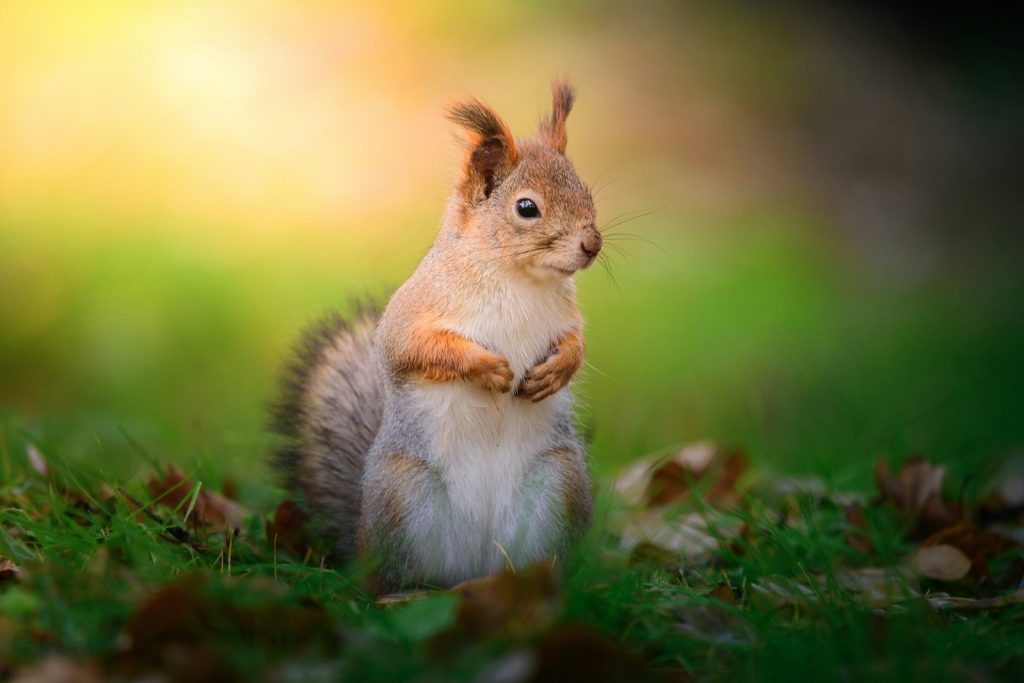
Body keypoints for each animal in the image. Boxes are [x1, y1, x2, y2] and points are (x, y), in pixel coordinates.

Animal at [271, 81, 601, 593]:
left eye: (586, 190)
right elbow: (414, 348)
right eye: (527, 208)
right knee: (392, 579)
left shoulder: (569, 318)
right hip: (403, 495)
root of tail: (474, 565)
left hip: (558, 485)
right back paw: (402, 595)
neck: (518, 278)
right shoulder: (412, 314)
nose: (592, 244)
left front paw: (556, 371)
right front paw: (487, 368)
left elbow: (577, 346)